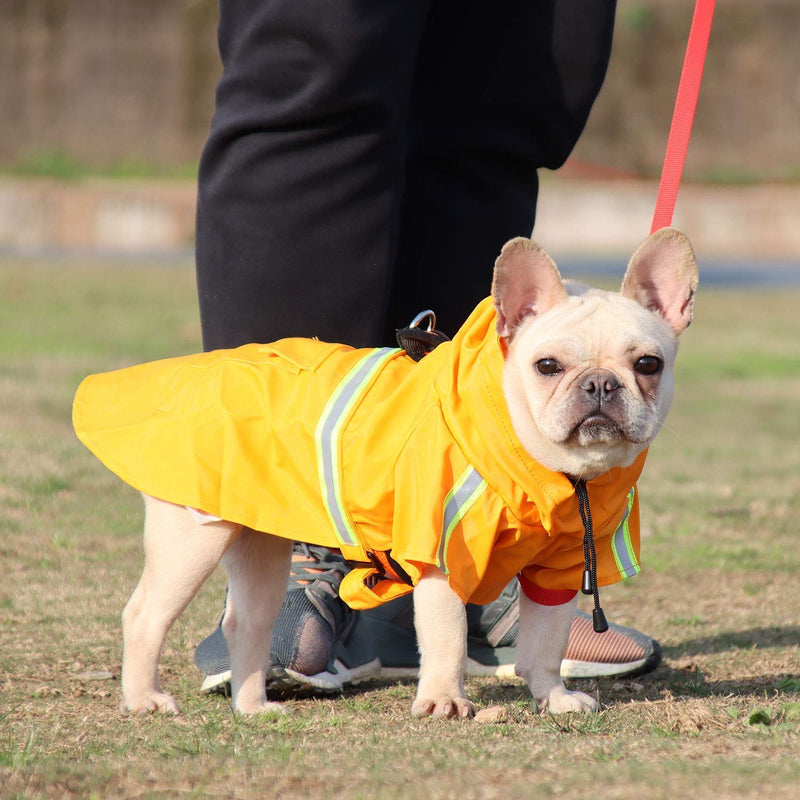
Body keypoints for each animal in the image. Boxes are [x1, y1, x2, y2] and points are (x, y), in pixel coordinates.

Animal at [94, 227, 696, 720]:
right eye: (547, 367)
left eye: (648, 365)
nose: (599, 384)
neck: (557, 471)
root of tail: (180, 380)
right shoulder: (443, 559)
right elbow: (448, 637)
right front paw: (445, 701)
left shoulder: (557, 570)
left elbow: (545, 644)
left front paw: (553, 698)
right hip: (191, 538)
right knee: (144, 616)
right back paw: (144, 700)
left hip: (259, 540)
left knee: (247, 623)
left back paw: (253, 706)